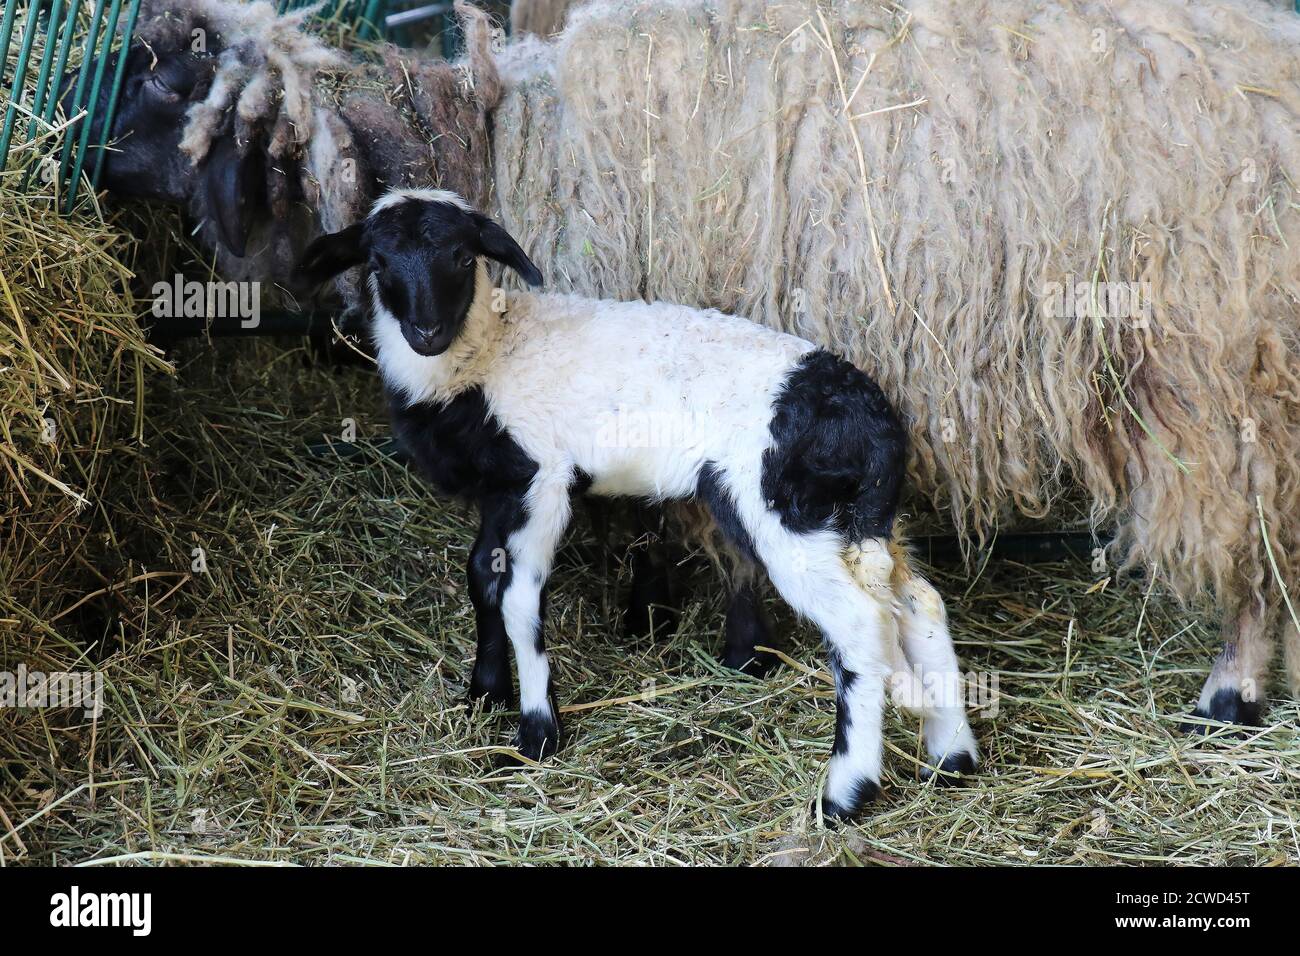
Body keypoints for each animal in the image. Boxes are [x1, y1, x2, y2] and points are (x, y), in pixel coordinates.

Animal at [294, 188, 980, 821]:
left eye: (464, 256)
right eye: (378, 261)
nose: (427, 333)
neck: (483, 360)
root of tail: (875, 423)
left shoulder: (543, 479)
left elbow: (519, 599)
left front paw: (536, 733)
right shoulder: (500, 491)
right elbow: (481, 578)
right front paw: (484, 694)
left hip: (789, 514)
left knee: (861, 627)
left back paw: (845, 794)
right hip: (860, 521)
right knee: (919, 603)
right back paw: (950, 758)